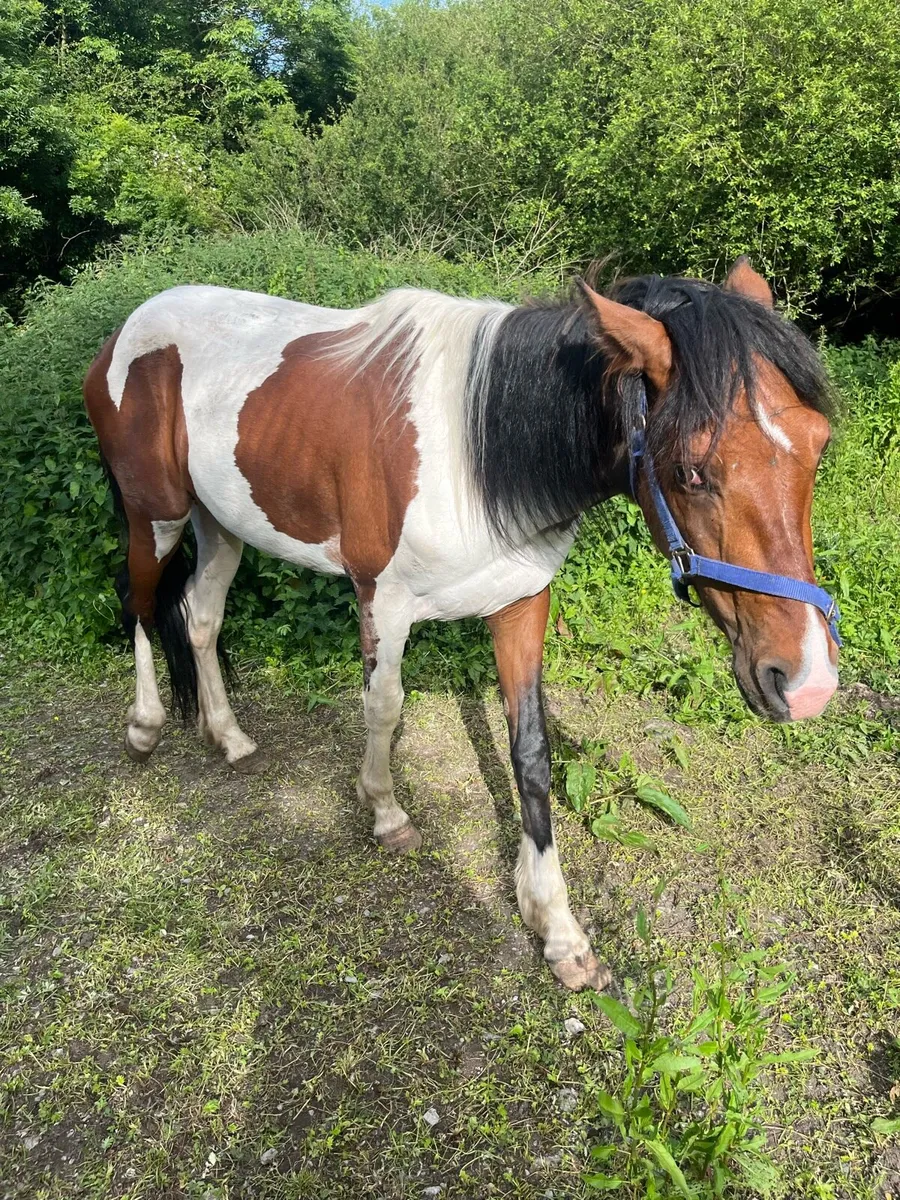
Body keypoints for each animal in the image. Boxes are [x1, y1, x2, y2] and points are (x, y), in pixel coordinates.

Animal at [83, 256, 839, 992]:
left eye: (818, 446)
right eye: (691, 470)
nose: (807, 680)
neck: (473, 456)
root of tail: (124, 332)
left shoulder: (521, 603)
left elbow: (530, 752)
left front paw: (558, 930)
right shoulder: (382, 599)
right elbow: (383, 707)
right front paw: (386, 813)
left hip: (220, 524)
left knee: (200, 618)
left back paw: (229, 735)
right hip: (155, 515)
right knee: (141, 606)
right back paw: (145, 726)